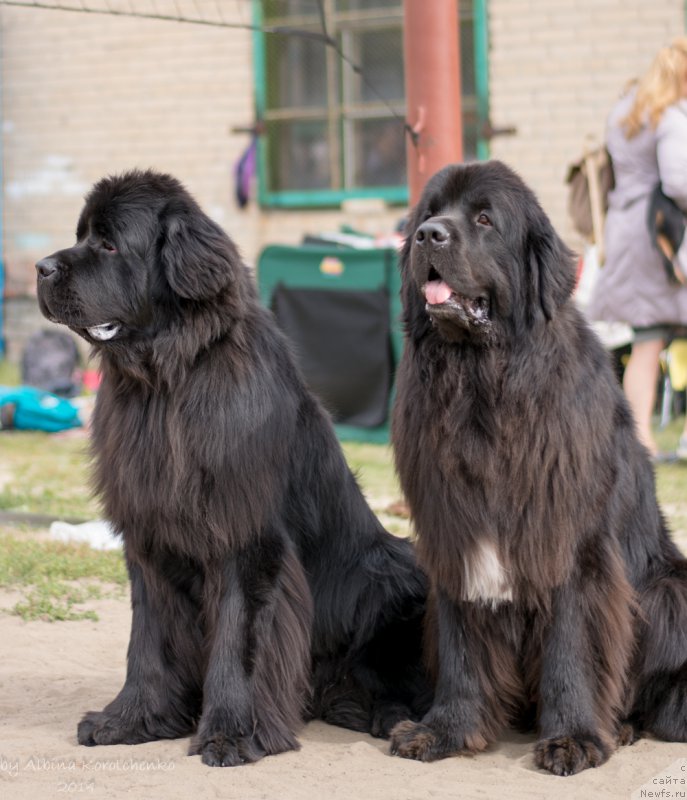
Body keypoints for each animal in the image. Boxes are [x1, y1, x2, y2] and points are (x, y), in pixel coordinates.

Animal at [36, 170, 430, 768]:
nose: (40, 268)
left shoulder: (244, 539)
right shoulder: (149, 538)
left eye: (108, 244)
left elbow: (237, 641)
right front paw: (130, 720)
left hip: (394, 578)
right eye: (81, 235)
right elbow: (147, 640)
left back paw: (390, 717)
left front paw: (229, 734)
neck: (167, 383)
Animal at [390, 161, 687, 776]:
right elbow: (459, 644)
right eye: (430, 212)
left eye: (484, 219)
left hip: (669, 593)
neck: (481, 387)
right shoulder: (453, 534)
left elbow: (572, 645)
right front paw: (444, 730)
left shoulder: (571, 545)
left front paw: (573, 738)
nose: (429, 235)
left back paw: (621, 726)